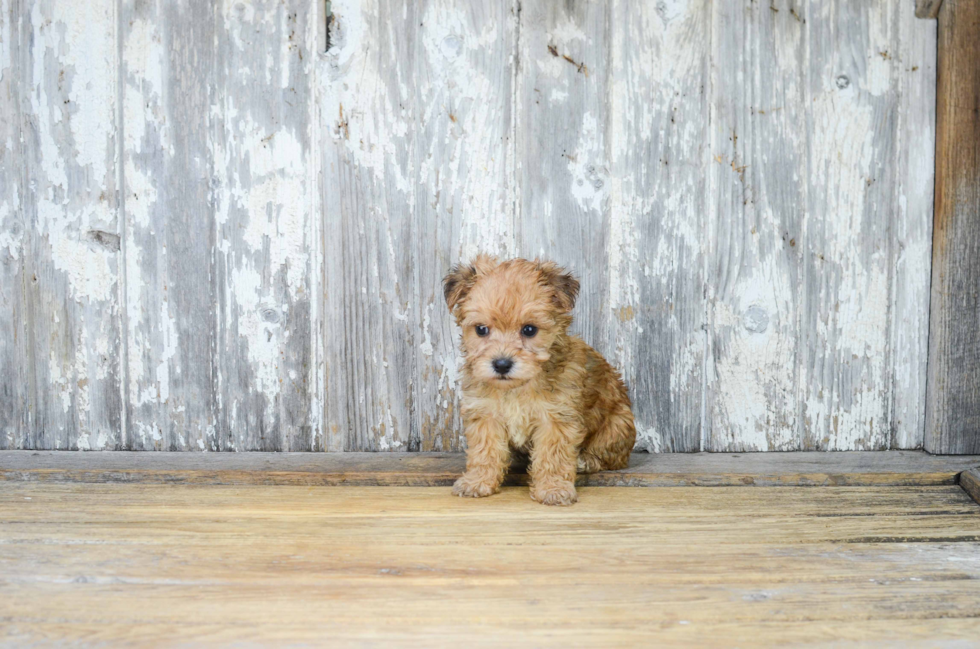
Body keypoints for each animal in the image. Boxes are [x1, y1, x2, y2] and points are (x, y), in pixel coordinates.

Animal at [444, 254, 636, 506]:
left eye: (529, 330)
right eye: (481, 330)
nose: (502, 364)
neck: (517, 387)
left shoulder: (556, 418)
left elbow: (553, 455)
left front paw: (553, 488)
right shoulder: (485, 415)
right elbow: (485, 450)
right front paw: (478, 481)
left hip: (618, 424)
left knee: (610, 455)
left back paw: (585, 460)